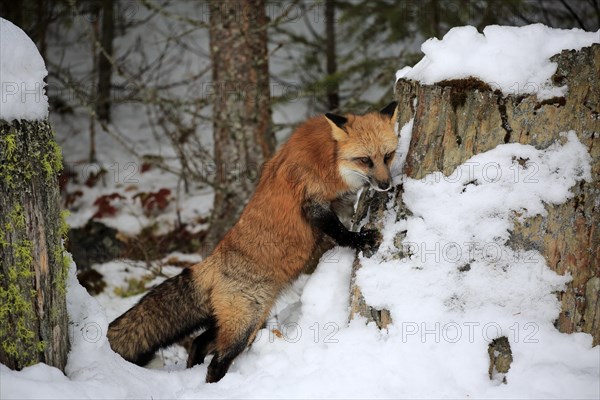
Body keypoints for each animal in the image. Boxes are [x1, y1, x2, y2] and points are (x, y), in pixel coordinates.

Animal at [108, 101, 398, 382]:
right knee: (216, 363)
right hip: (245, 325)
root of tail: (211, 262)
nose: (386, 185)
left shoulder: (340, 200)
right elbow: (339, 231)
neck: (329, 156)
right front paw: (361, 239)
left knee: (198, 342)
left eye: (387, 156)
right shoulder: (313, 203)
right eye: (364, 160)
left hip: (246, 320)